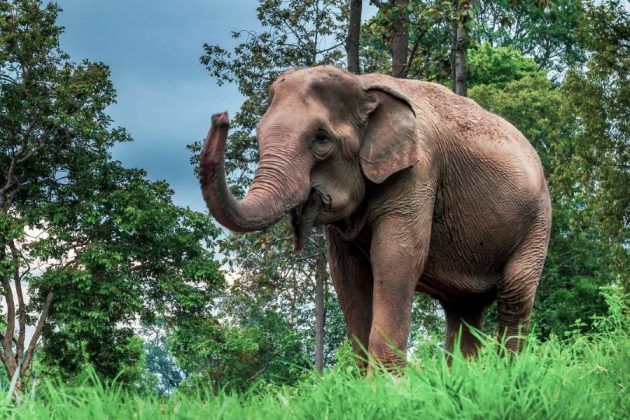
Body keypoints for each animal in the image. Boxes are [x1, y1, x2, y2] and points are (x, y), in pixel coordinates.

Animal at [201, 65, 552, 368]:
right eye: (259, 136)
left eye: (321, 139)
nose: (219, 117)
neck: (362, 84)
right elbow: (346, 274)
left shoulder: (419, 171)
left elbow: (396, 257)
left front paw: (387, 387)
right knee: (464, 309)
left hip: (538, 222)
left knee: (515, 292)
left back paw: (509, 375)